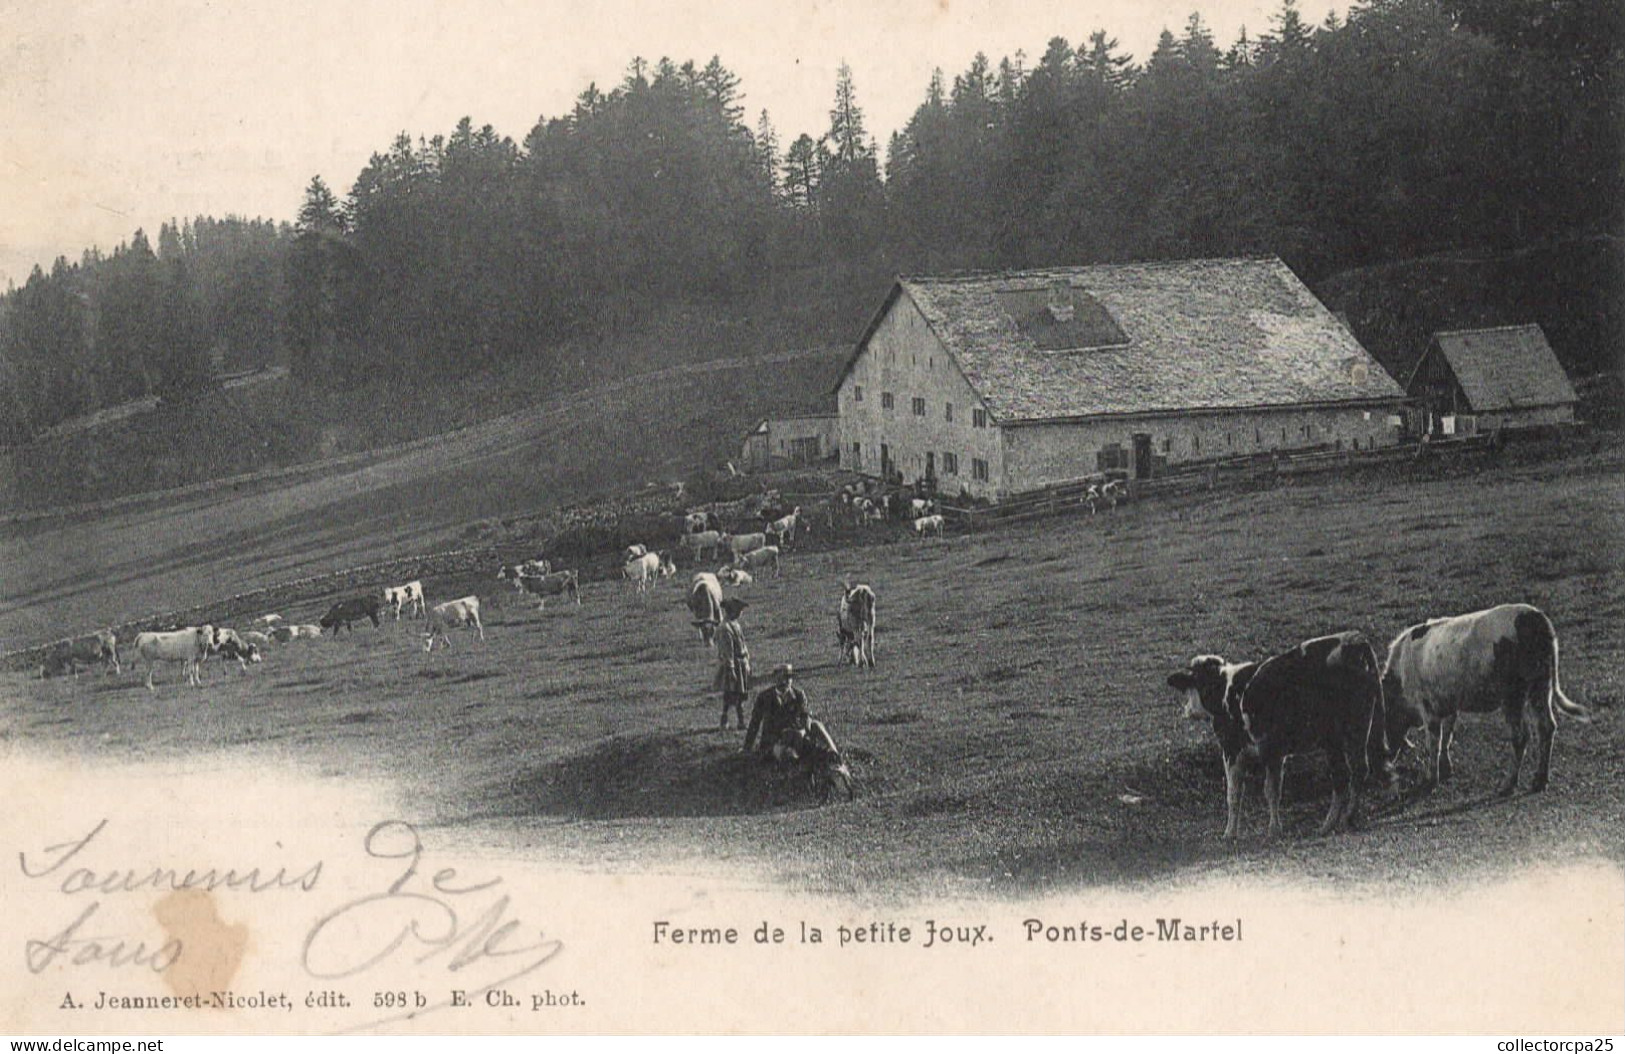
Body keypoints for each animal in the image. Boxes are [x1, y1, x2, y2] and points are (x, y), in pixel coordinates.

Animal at [1378, 604, 1592, 792]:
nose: (1387, 757)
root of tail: (1534, 616)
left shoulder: (1428, 709)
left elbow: (1433, 744)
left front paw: (1431, 780)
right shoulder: (1448, 706)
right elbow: (1447, 736)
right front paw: (1446, 769)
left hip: (1513, 696)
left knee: (1521, 735)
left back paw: (1508, 784)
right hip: (1540, 686)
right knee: (1546, 727)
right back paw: (1539, 781)